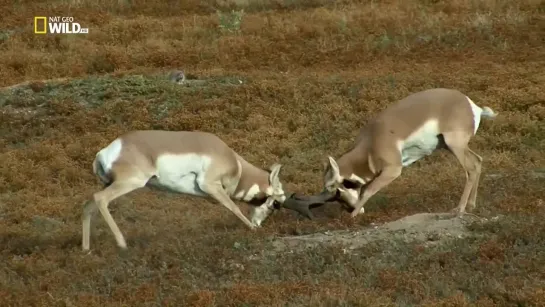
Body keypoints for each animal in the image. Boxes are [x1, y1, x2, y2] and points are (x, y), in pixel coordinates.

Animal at [81, 131, 318, 251]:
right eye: (276, 203)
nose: (260, 224)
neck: (235, 165)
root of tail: (106, 151)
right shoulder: (211, 185)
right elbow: (233, 207)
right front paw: (251, 228)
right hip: (130, 182)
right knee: (100, 199)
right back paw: (122, 243)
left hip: (110, 184)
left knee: (89, 204)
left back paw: (86, 248)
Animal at [294, 88, 498, 219]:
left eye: (337, 188)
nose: (348, 210)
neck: (371, 140)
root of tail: (471, 105)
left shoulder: (393, 170)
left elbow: (368, 189)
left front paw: (353, 216)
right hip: (452, 146)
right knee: (478, 161)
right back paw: (470, 205)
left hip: (454, 145)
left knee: (471, 168)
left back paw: (459, 209)